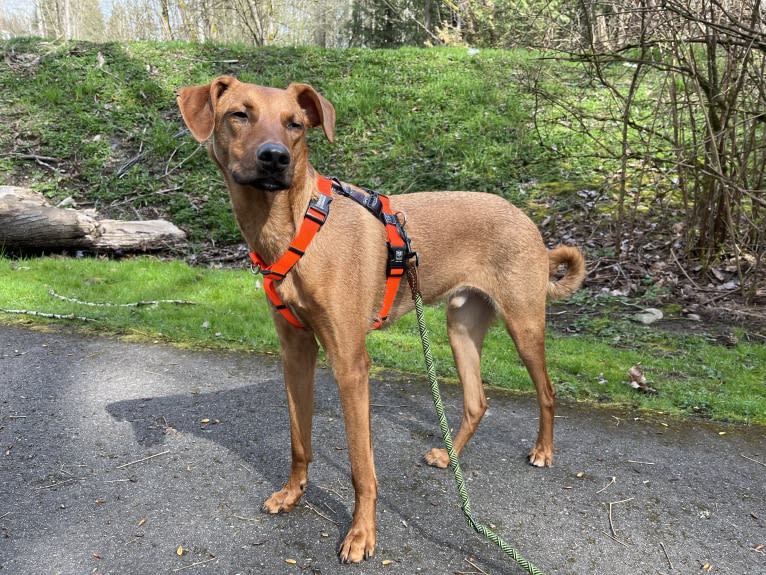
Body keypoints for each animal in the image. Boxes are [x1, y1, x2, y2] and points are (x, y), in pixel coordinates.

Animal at [178, 75, 588, 564]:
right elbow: (299, 441)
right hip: (460, 327)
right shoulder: (296, 352)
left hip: (523, 326)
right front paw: (292, 494)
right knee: (477, 402)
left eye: (295, 124)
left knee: (547, 391)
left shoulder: (351, 365)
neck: (295, 226)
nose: (275, 158)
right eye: (239, 114)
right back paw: (448, 458)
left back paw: (543, 450)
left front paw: (361, 534)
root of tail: (527, 221)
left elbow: (361, 467)